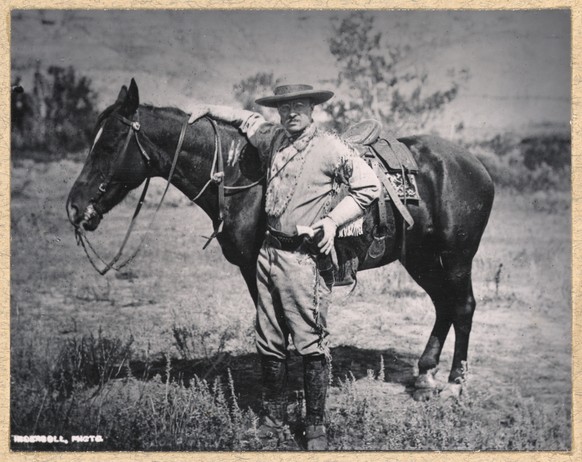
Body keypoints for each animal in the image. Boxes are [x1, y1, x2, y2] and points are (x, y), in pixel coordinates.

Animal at [68, 77, 498, 398]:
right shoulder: (255, 269)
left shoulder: (260, 266)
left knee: (463, 306)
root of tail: (475, 164)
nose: (74, 207)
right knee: (443, 305)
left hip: (457, 256)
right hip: (420, 258)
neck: (239, 176)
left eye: (109, 144)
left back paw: (455, 384)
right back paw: (425, 376)